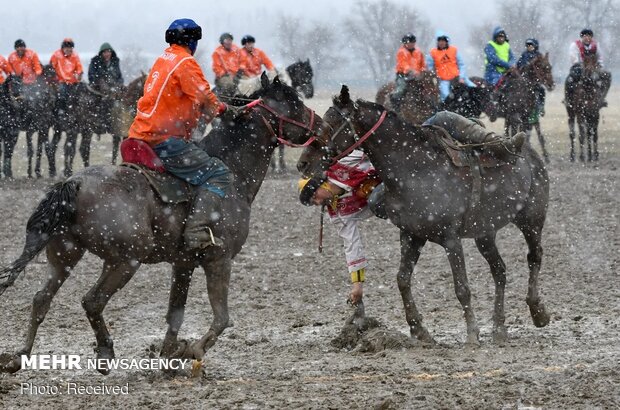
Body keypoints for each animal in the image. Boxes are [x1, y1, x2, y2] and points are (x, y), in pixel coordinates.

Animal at [0, 73, 320, 374]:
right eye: (293, 100)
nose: (321, 127)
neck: (233, 172)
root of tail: (74, 182)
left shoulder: (184, 262)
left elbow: (175, 312)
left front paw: (169, 356)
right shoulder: (219, 259)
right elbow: (221, 318)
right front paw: (191, 351)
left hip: (64, 253)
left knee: (41, 299)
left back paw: (20, 356)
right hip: (125, 260)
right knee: (92, 300)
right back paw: (104, 352)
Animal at [298, 85, 548, 346]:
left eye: (330, 124)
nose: (303, 163)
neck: (416, 170)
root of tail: (530, 153)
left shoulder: (451, 239)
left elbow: (462, 287)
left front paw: (472, 333)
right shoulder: (411, 235)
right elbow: (402, 279)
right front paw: (418, 329)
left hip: (532, 219)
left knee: (534, 256)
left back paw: (537, 311)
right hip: (485, 233)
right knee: (499, 270)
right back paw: (499, 327)